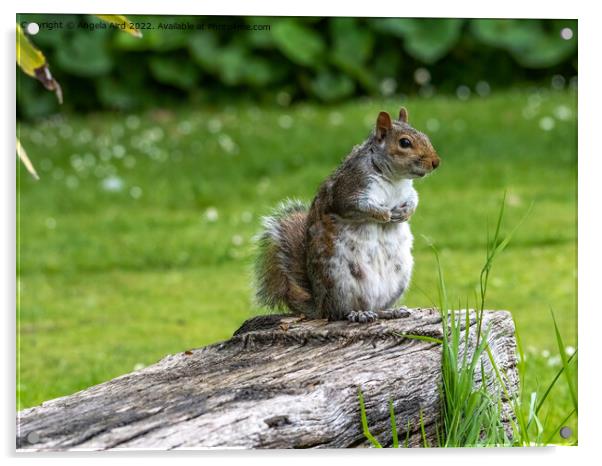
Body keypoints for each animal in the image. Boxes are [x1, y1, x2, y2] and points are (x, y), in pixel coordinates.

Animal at [251, 107, 438, 322]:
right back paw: (358, 313)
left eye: (425, 136)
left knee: (377, 307)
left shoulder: (407, 191)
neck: (394, 179)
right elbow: (360, 207)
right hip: (338, 280)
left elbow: (414, 199)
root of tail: (320, 306)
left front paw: (405, 213)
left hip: (399, 278)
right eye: (405, 143)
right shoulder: (348, 190)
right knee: (341, 312)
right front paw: (384, 215)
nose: (436, 162)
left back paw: (391, 311)